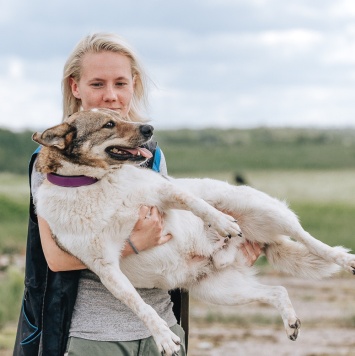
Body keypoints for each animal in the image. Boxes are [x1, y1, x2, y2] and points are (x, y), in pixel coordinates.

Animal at [33, 109, 355, 356]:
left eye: (120, 116)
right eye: (109, 124)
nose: (150, 128)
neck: (93, 182)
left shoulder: (164, 192)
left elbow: (197, 203)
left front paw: (222, 223)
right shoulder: (106, 268)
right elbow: (139, 306)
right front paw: (163, 337)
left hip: (266, 213)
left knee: (310, 240)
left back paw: (345, 260)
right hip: (223, 291)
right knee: (277, 290)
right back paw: (289, 320)